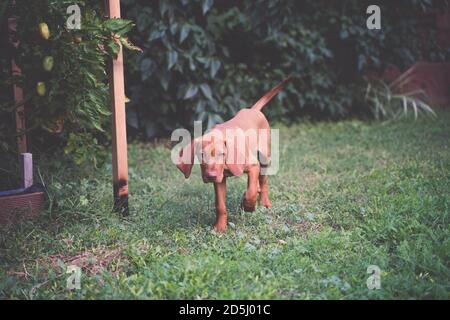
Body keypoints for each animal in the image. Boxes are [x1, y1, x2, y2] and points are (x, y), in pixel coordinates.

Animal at [176, 77, 292, 232]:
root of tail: (252, 110)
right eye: (201, 155)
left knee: (263, 181)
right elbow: (220, 205)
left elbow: (251, 191)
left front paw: (248, 206)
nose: (210, 176)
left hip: (264, 157)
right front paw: (220, 227)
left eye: (222, 154)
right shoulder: (219, 180)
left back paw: (264, 202)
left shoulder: (253, 166)